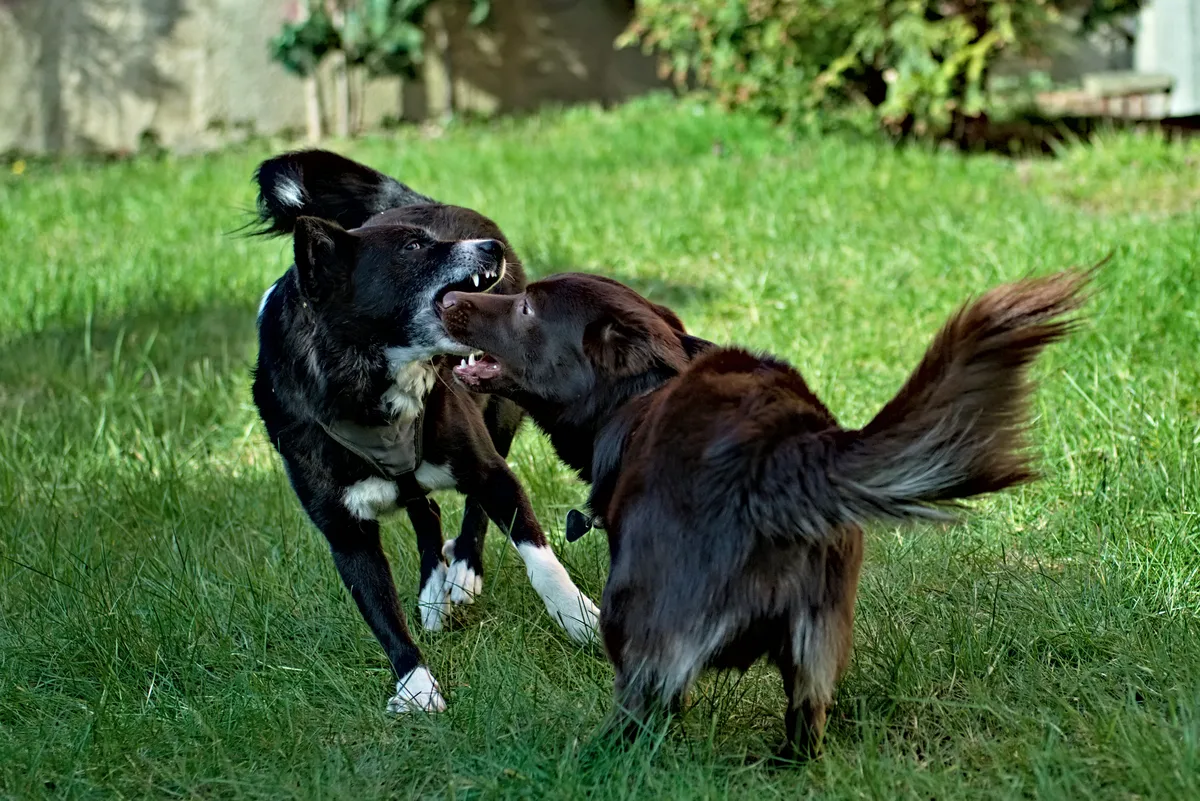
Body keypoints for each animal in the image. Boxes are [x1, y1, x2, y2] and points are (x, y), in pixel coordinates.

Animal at [250, 151, 597, 714]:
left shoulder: (488, 469)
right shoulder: (345, 533)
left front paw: (579, 616)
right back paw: (433, 595)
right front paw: (415, 684)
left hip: (499, 416)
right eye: (412, 248)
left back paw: (463, 574)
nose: (491, 246)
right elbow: (382, 614)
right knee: (425, 510)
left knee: (468, 507)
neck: (368, 385)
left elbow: (539, 555)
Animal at [439, 272, 1089, 753]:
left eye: (526, 306)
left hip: (632, 613)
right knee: (806, 725)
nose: (446, 298)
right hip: (819, 633)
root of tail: (775, 453)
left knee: (643, 716)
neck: (638, 396)